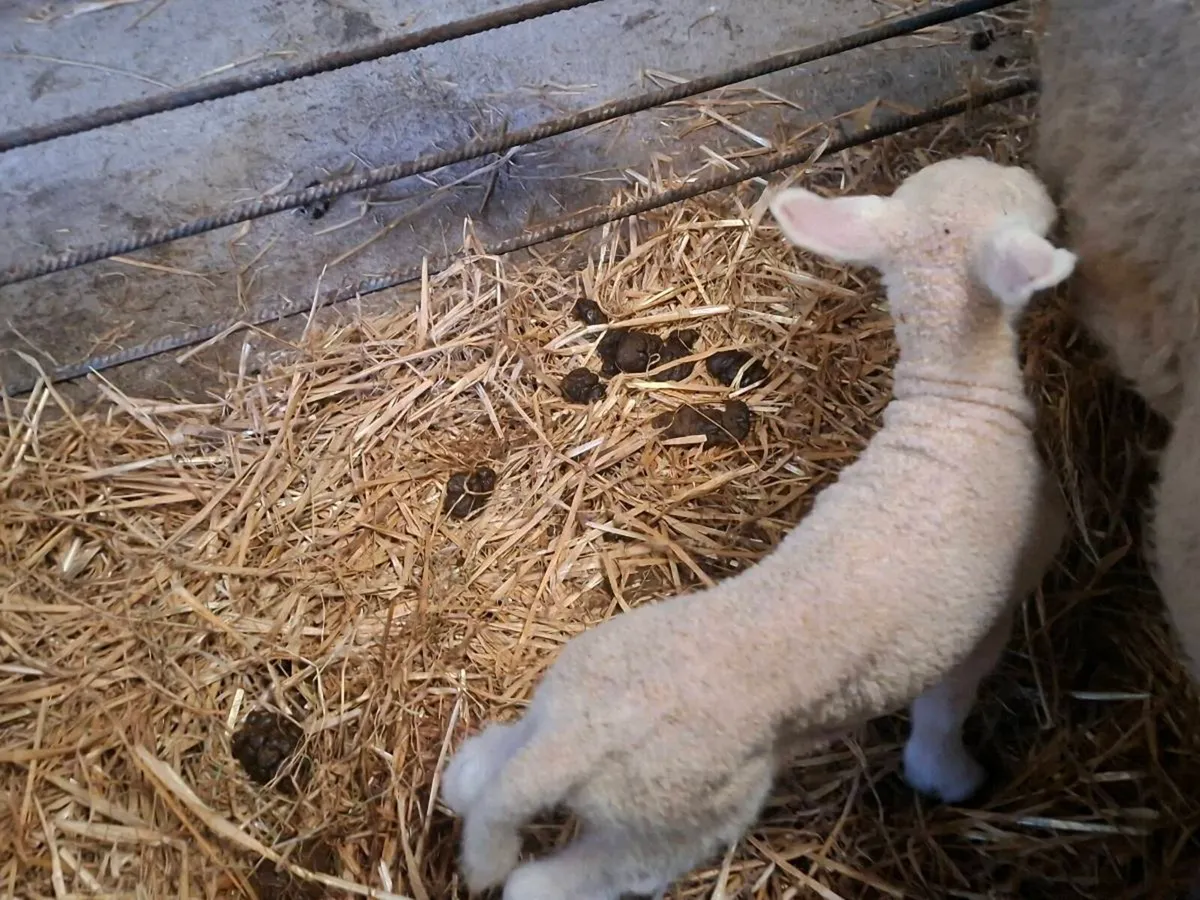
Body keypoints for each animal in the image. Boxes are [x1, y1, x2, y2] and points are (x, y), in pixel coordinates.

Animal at [438, 156, 1075, 900]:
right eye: (1015, 202)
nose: (1042, 185)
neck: (954, 407)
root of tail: (574, 744)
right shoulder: (985, 618)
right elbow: (944, 714)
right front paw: (951, 777)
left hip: (556, 700)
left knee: (480, 774)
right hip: (676, 820)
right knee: (551, 883)